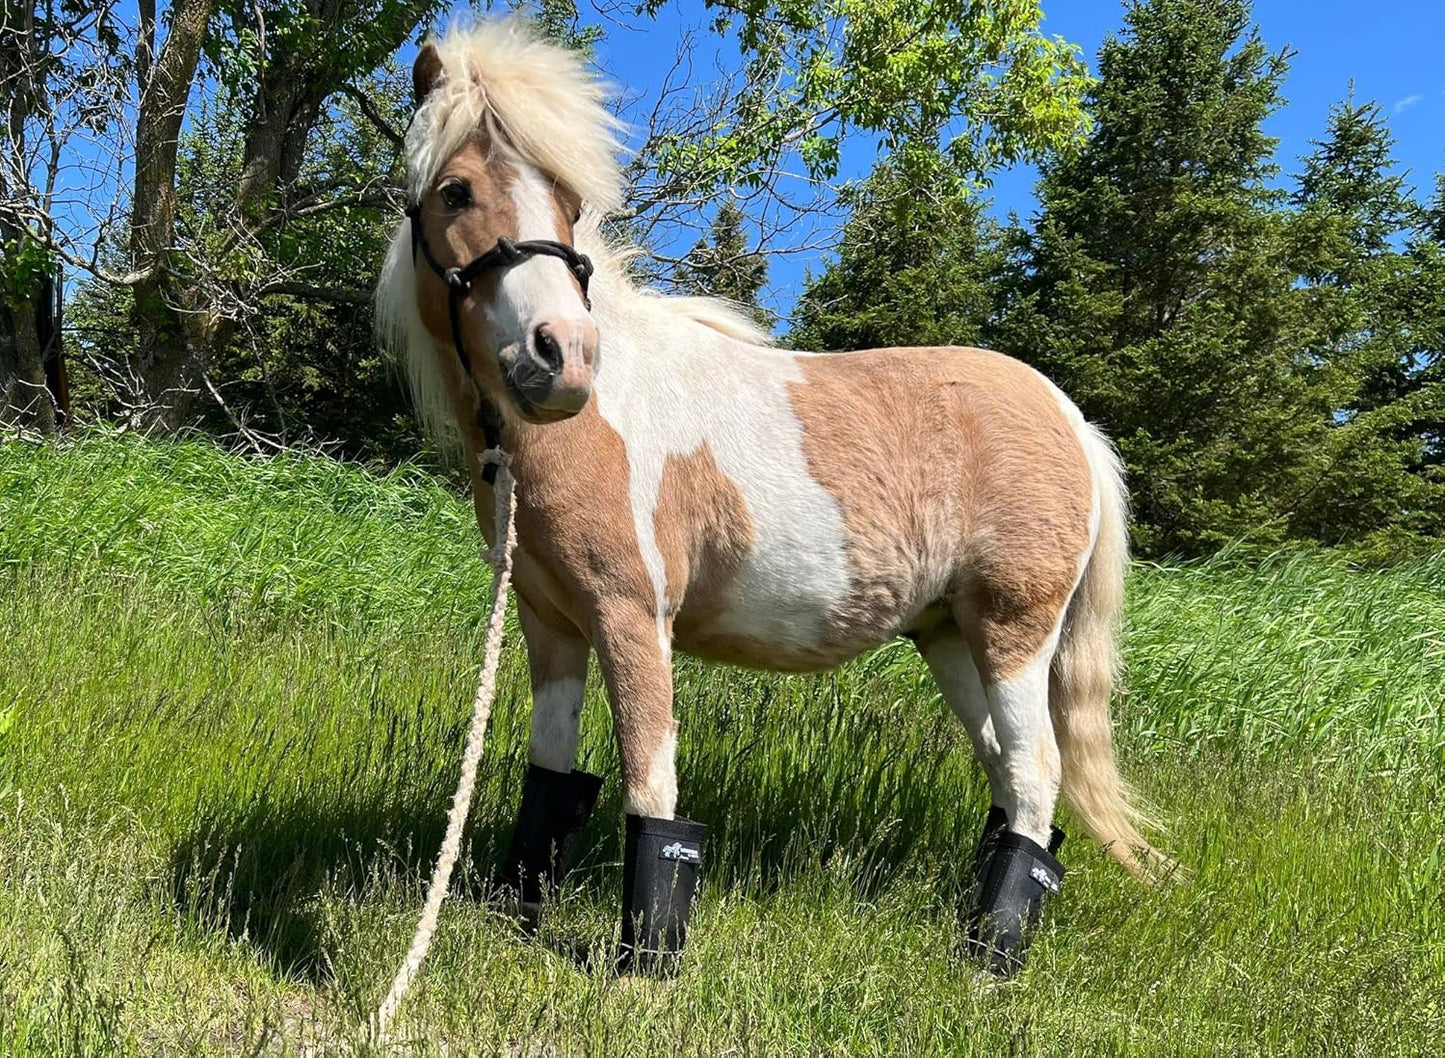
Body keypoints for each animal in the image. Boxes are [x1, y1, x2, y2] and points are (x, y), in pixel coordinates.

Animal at [376, 19, 1164, 978]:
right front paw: (515, 921)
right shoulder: (549, 624)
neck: (589, 427)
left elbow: (651, 784)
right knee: (1006, 778)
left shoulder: (631, 616)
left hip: (1016, 630)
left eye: (565, 200)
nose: (559, 356)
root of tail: (1070, 420)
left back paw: (988, 958)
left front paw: (644, 965)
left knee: (1033, 772)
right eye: (455, 191)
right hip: (950, 635)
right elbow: (549, 777)